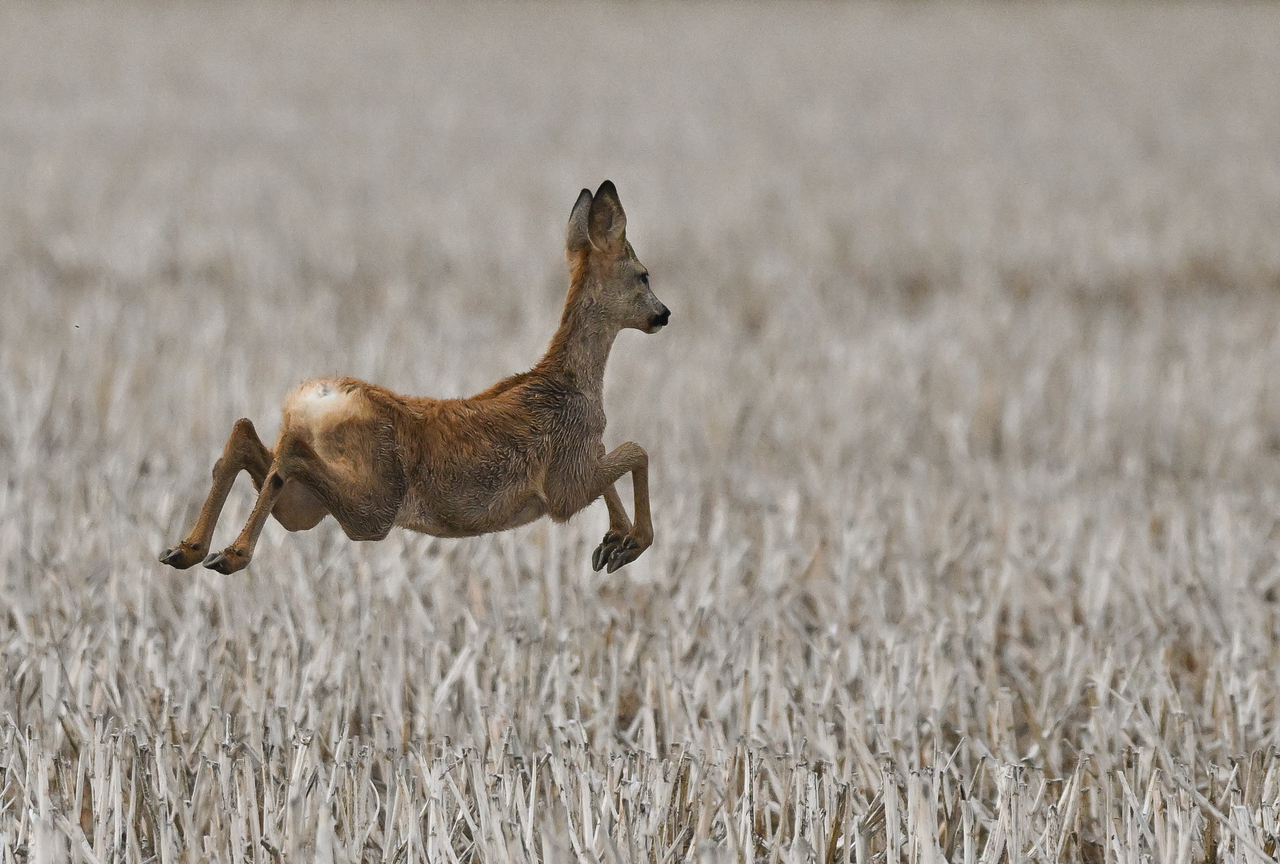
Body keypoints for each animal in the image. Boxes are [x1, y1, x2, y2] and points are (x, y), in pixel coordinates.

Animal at [160, 181, 669, 576]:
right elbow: (635, 451)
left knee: (246, 437)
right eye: (643, 275)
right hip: (374, 507)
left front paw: (612, 544)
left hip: (310, 509)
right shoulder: (564, 487)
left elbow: (618, 459)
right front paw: (631, 544)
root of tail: (313, 399)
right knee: (287, 457)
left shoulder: (580, 466)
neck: (571, 384)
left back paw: (187, 550)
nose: (663, 314)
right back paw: (229, 556)